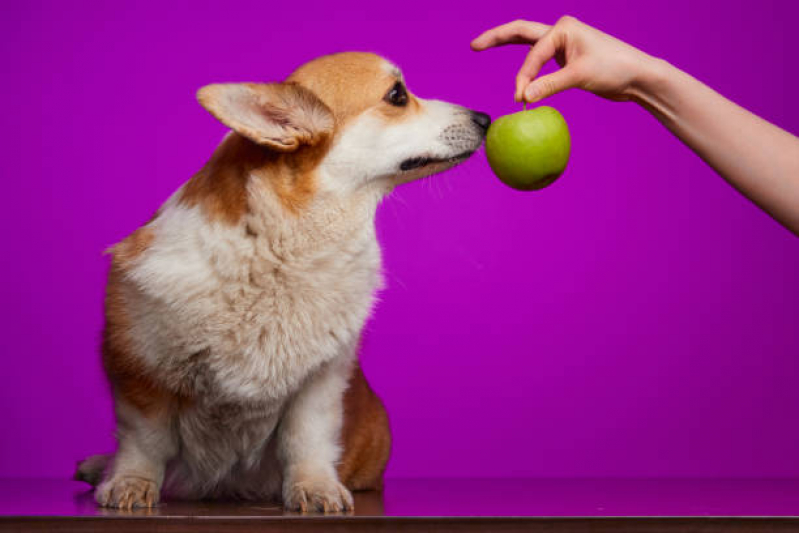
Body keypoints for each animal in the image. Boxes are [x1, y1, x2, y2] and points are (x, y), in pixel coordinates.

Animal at [76, 51, 488, 512]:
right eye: (398, 96)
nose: (486, 118)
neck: (280, 246)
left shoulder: (319, 382)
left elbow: (306, 437)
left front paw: (315, 486)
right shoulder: (138, 369)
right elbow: (144, 440)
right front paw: (130, 482)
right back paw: (100, 467)